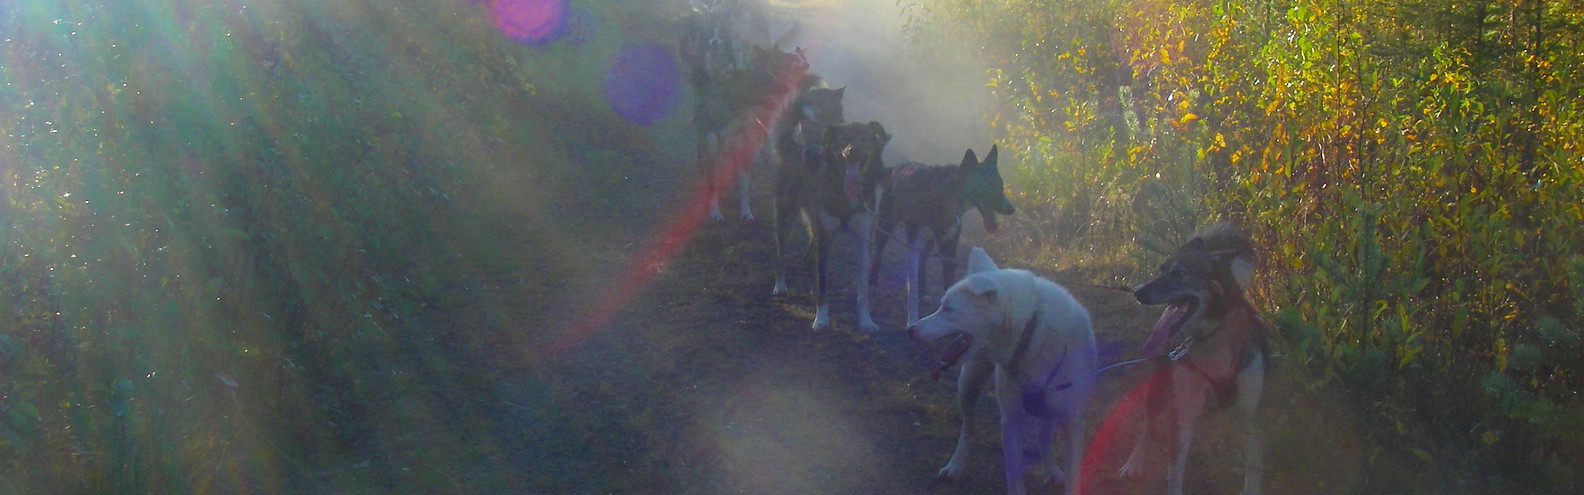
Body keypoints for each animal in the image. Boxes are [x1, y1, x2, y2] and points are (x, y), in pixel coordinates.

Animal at [912, 249, 1096, 491]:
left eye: (948, 309)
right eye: (942, 305)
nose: (910, 329)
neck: (1031, 334)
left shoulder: (1072, 420)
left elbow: (1073, 477)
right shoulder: (1012, 420)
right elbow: (1015, 479)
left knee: (1043, 434)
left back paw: (1051, 469)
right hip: (969, 384)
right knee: (968, 428)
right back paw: (956, 466)